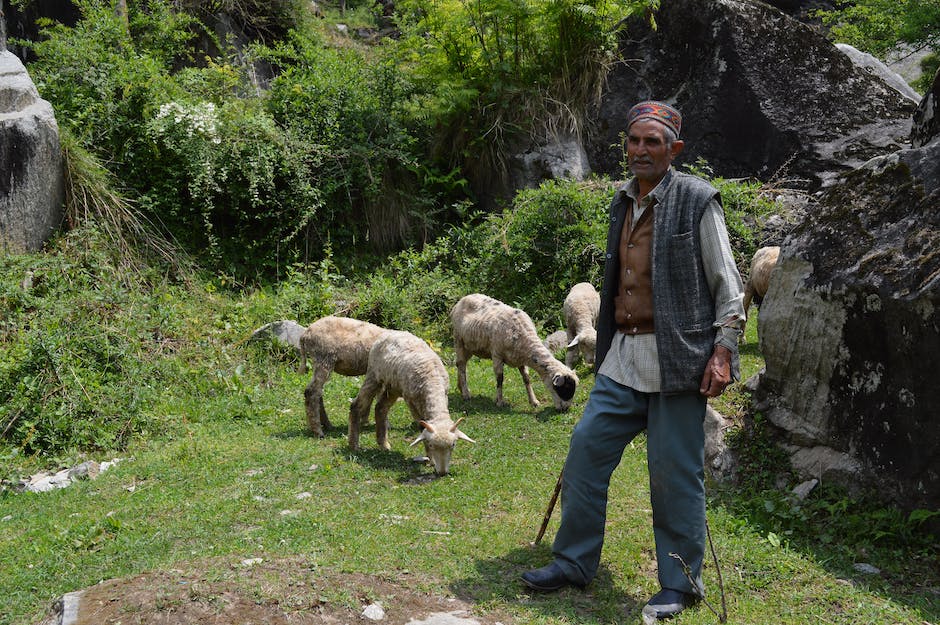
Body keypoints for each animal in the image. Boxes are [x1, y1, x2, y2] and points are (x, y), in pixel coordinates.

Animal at [346, 332, 474, 472]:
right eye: (431, 444)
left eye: (453, 445)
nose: (442, 473)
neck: (432, 382)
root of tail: (390, 333)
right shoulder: (411, 401)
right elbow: (421, 427)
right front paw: (430, 459)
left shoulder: (444, 396)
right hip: (374, 375)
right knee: (356, 405)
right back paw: (354, 445)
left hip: (393, 386)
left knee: (380, 408)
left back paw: (384, 444)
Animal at [450, 294, 580, 412]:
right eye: (566, 387)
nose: (565, 409)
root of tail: (462, 299)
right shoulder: (497, 355)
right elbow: (500, 379)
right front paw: (500, 402)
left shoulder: (520, 360)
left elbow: (526, 379)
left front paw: (534, 401)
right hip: (458, 340)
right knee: (461, 365)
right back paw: (466, 394)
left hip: (470, 347)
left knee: (461, 364)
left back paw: (460, 388)